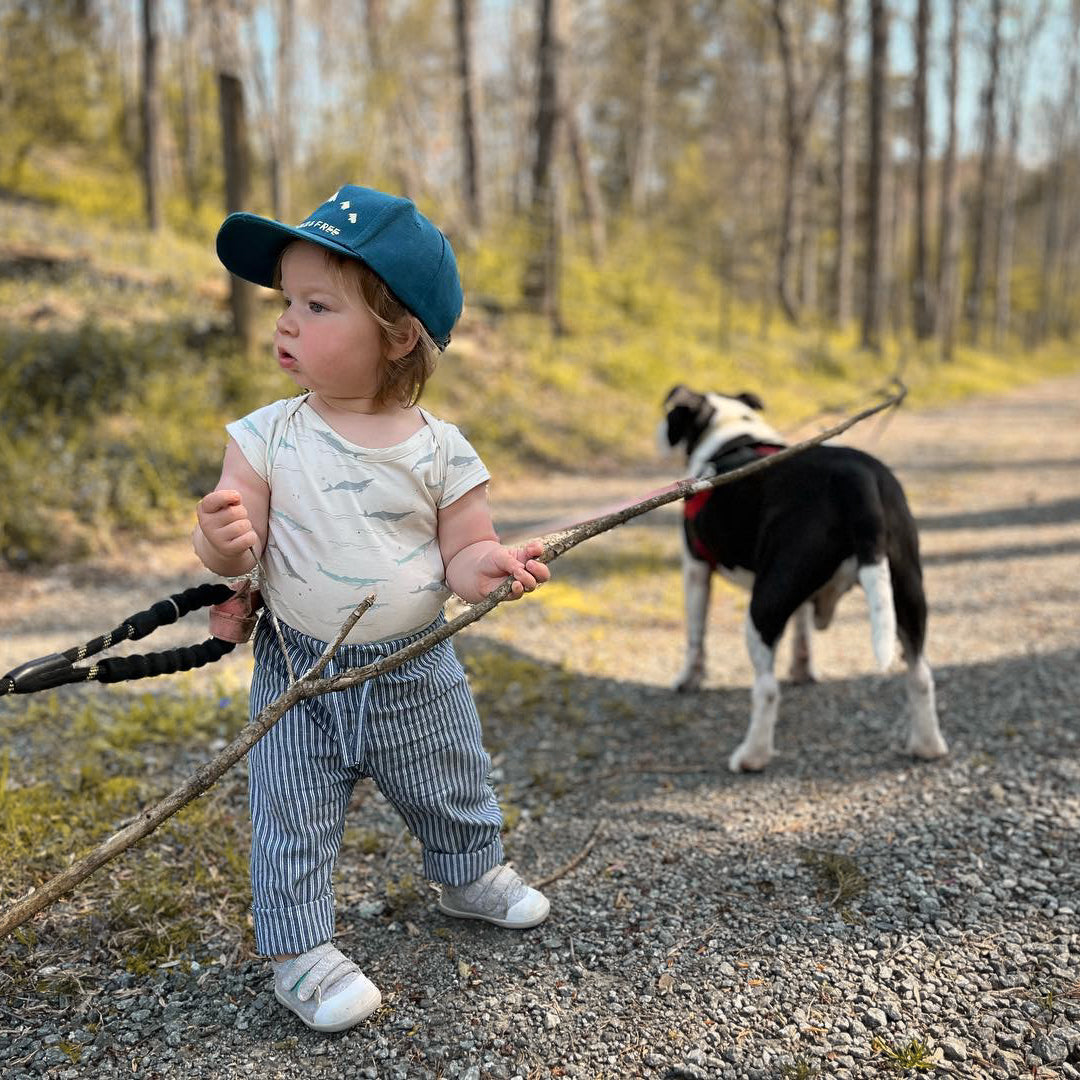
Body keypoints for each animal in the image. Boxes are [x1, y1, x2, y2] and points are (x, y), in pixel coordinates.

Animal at [652, 384, 950, 773]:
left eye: (671, 412)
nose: (658, 430)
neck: (730, 429)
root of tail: (855, 478)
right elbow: (802, 630)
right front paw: (802, 669)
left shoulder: (696, 567)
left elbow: (695, 636)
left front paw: (689, 679)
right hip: (905, 591)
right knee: (920, 674)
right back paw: (927, 745)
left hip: (764, 604)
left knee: (766, 689)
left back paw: (752, 755)